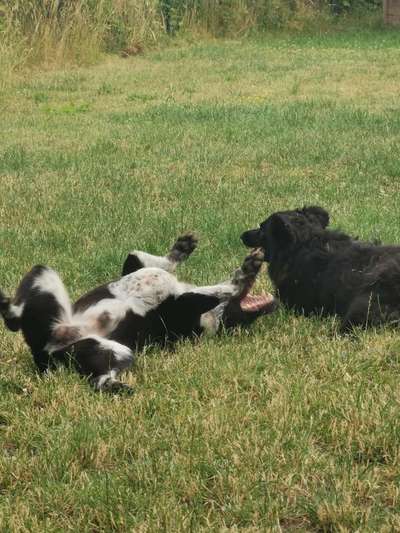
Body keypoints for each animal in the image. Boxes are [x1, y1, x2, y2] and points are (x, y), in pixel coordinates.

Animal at [0, 233, 276, 390]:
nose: (275, 303)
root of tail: (44, 355)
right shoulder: (134, 266)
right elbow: (150, 259)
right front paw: (181, 248)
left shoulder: (185, 304)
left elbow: (222, 289)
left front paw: (244, 273)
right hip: (43, 273)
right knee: (15, 314)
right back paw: (6, 304)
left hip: (117, 352)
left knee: (97, 381)